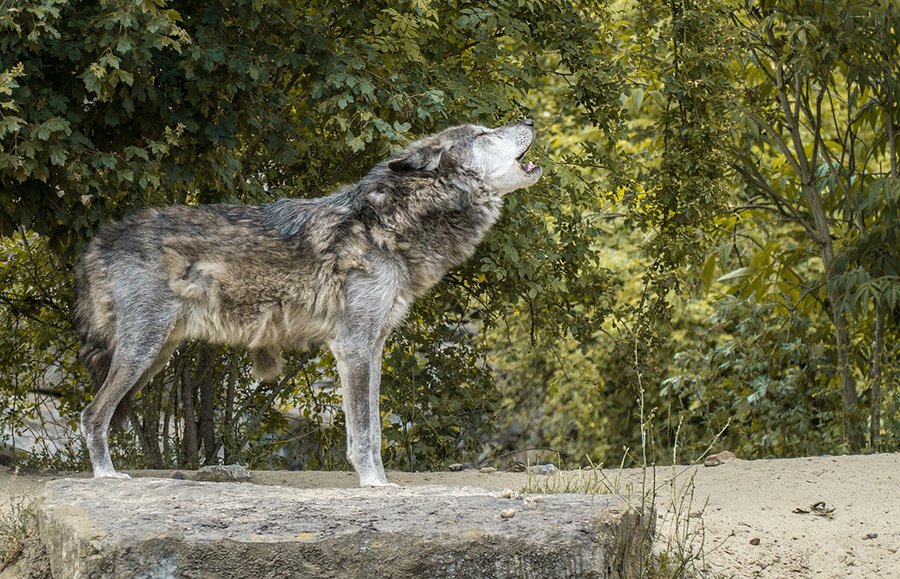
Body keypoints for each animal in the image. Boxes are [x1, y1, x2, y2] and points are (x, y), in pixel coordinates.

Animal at [75, 119, 542, 486]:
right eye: (482, 134)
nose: (530, 119)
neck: (390, 222)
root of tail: (103, 238)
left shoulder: (373, 346)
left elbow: (373, 427)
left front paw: (382, 482)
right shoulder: (353, 345)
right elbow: (363, 431)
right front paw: (373, 485)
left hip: (156, 356)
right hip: (142, 352)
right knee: (92, 414)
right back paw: (107, 476)